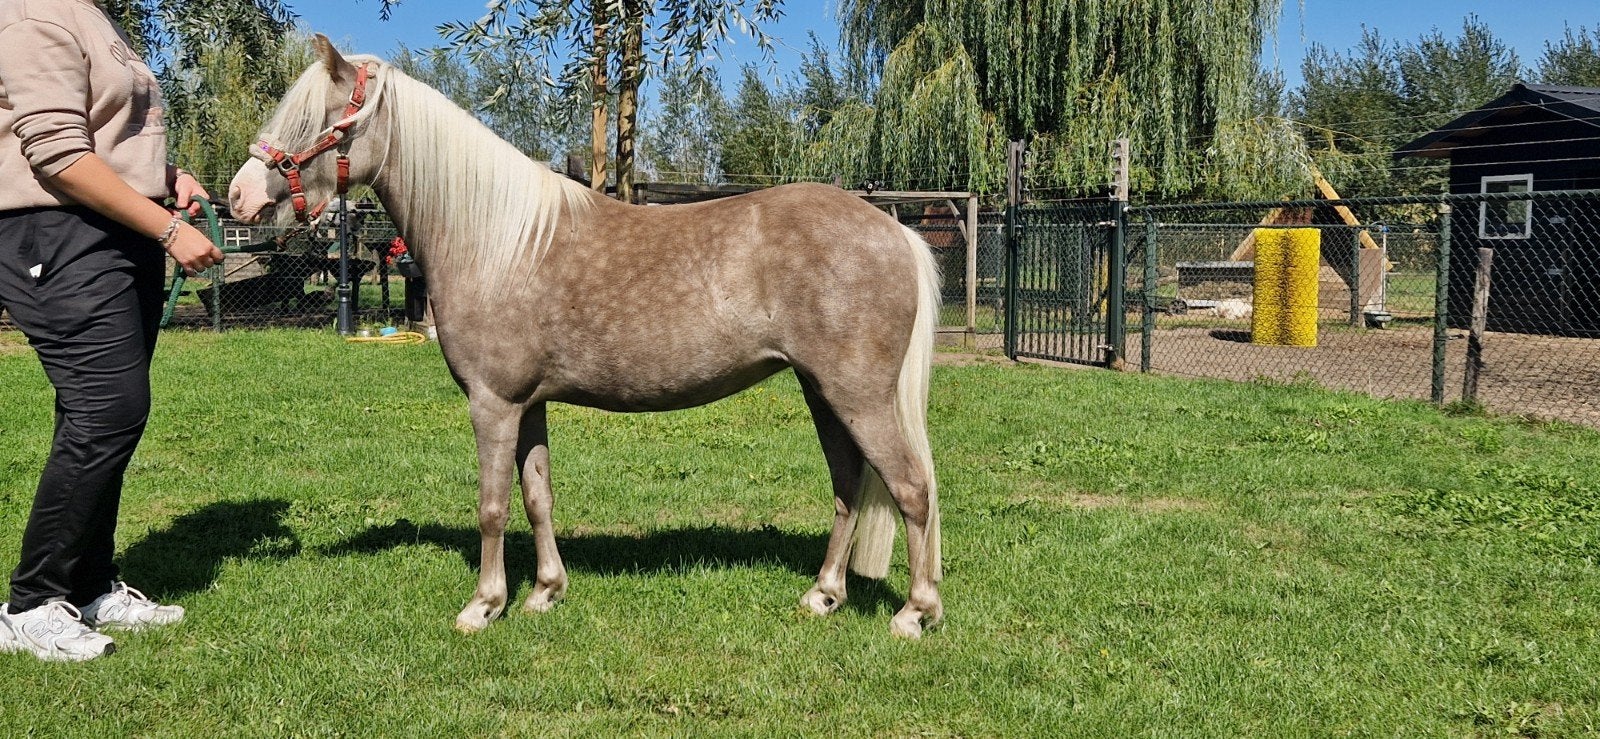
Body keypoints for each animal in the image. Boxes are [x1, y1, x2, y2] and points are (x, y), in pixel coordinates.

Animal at [228, 36, 943, 638]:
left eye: (317, 119)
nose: (238, 198)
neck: (497, 241)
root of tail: (893, 231)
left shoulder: (492, 403)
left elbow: (493, 505)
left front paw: (484, 606)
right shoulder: (528, 404)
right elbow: (537, 495)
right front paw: (545, 592)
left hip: (859, 396)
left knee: (911, 487)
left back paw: (915, 612)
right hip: (823, 393)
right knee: (849, 485)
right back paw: (824, 595)